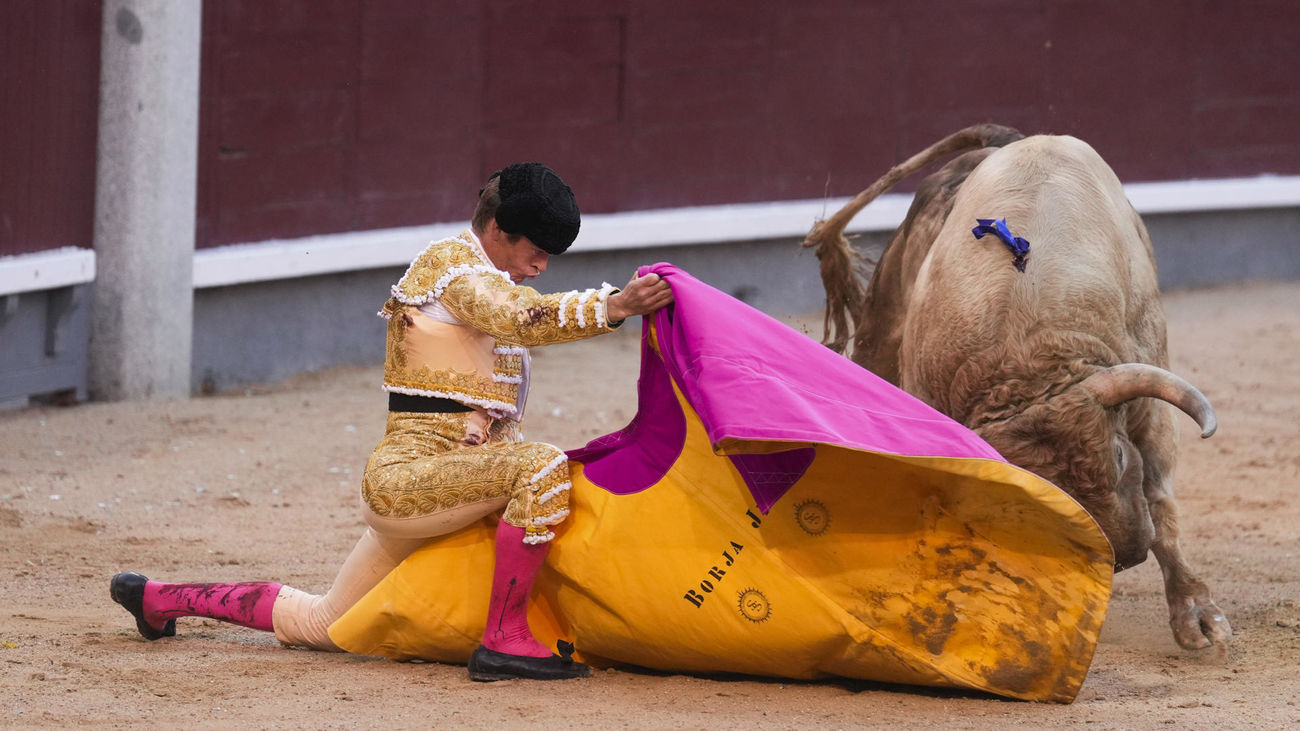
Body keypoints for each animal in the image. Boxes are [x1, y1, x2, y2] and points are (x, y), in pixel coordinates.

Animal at [802, 124, 1232, 650]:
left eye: (1117, 457)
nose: (1127, 555)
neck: (1028, 361)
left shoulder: (1149, 396)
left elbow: (1162, 503)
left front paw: (1198, 616)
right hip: (879, 335)